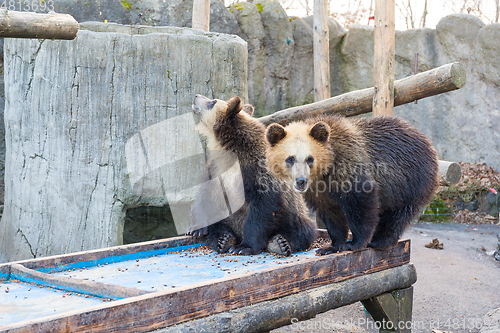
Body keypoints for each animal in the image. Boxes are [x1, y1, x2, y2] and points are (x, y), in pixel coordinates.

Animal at [188, 94, 316, 255]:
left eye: (213, 102)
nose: (196, 96)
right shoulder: (216, 167)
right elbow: (205, 193)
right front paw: (196, 229)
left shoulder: (257, 170)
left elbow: (263, 206)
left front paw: (244, 247)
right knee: (218, 225)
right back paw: (223, 239)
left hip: (294, 215)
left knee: (303, 230)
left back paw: (280, 243)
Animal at [266, 114, 438, 254]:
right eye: (290, 158)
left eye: (310, 159)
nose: (301, 181)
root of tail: (429, 143)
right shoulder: (320, 191)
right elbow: (331, 214)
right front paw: (331, 246)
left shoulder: (349, 163)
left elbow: (361, 202)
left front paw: (354, 243)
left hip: (411, 180)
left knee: (399, 214)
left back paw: (379, 241)